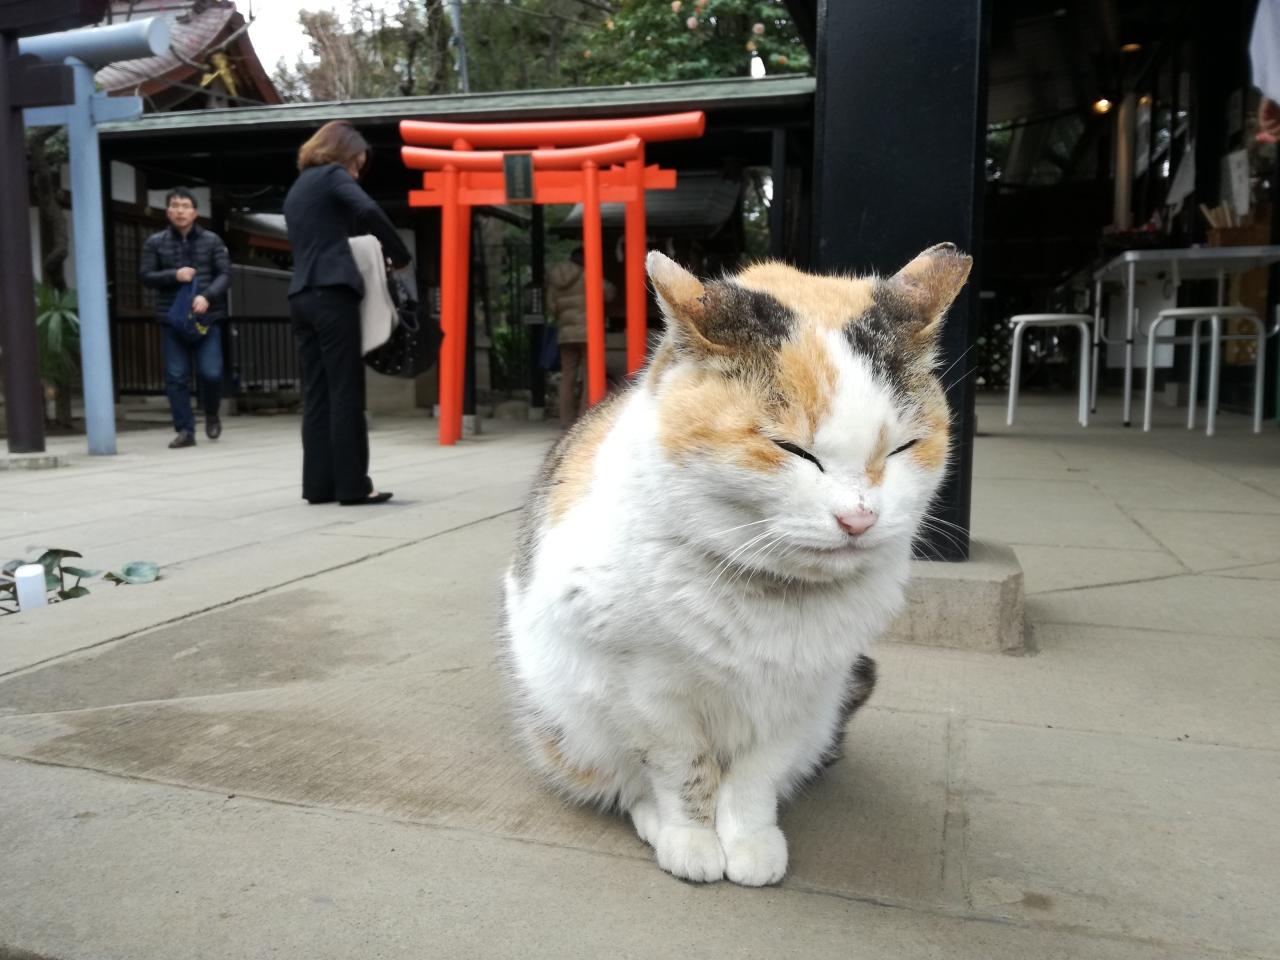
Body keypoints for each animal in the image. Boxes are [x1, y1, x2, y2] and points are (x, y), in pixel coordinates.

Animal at [499, 241, 967, 885]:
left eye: (902, 448)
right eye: (793, 450)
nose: (859, 518)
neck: (772, 595)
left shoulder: (803, 696)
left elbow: (755, 778)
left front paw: (749, 842)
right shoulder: (650, 692)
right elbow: (683, 772)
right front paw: (692, 840)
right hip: (567, 719)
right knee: (620, 780)